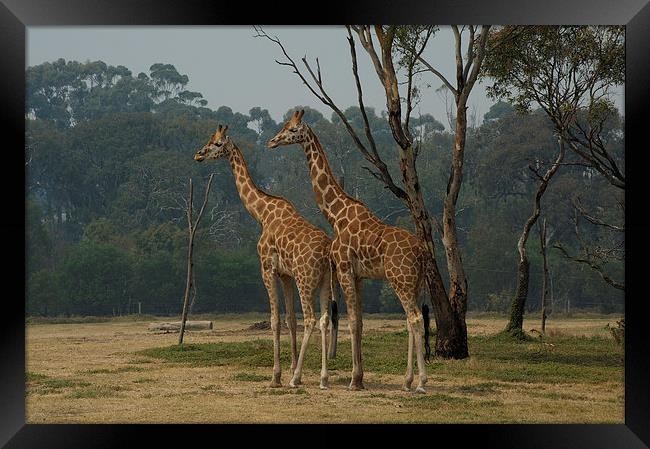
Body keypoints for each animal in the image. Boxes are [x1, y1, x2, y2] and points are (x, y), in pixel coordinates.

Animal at [194, 124, 336, 386]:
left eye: (217, 143)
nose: (198, 154)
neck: (261, 213)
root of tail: (325, 252)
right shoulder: (285, 275)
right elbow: (290, 319)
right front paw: (290, 368)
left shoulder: (267, 269)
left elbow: (275, 320)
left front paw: (277, 375)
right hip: (326, 281)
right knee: (323, 320)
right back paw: (323, 378)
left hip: (306, 279)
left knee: (311, 319)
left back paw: (297, 379)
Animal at [266, 111, 428, 392]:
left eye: (292, 129)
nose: (272, 141)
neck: (336, 215)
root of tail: (421, 251)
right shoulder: (359, 276)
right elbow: (360, 322)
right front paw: (359, 377)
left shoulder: (343, 270)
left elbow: (352, 321)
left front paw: (354, 380)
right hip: (415, 283)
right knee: (410, 321)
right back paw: (407, 381)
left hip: (400, 280)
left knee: (416, 319)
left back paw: (421, 382)